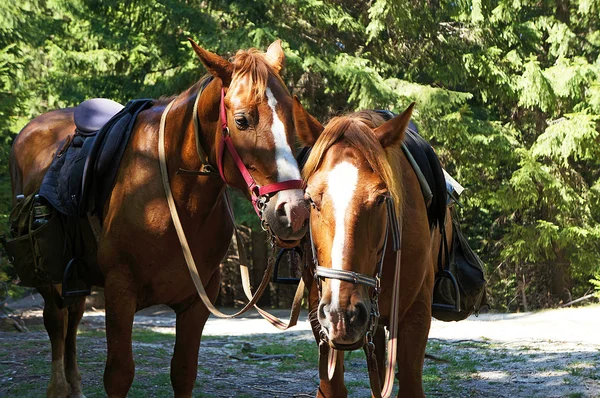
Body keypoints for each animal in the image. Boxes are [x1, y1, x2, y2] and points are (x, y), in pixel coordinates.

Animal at [10, 40, 318, 398]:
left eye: (292, 119)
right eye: (242, 120)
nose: (294, 211)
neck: (173, 196)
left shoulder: (197, 302)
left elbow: (183, 372)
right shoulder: (119, 291)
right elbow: (118, 374)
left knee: (72, 317)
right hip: (50, 274)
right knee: (57, 321)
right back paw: (59, 387)